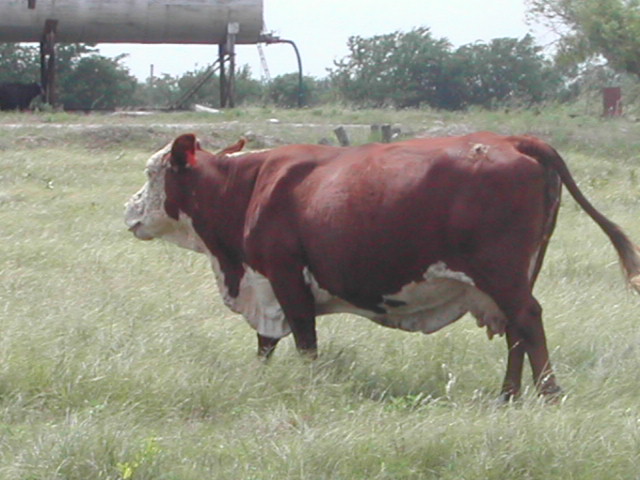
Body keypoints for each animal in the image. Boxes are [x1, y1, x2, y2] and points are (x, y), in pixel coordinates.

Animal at [124, 132, 640, 402]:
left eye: (152, 173)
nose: (129, 210)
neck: (248, 187)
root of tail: (511, 139)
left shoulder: (285, 276)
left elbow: (304, 341)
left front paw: (309, 386)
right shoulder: (265, 286)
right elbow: (266, 343)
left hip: (502, 273)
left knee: (528, 321)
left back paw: (549, 394)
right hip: (514, 276)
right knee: (517, 330)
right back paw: (508, 397)